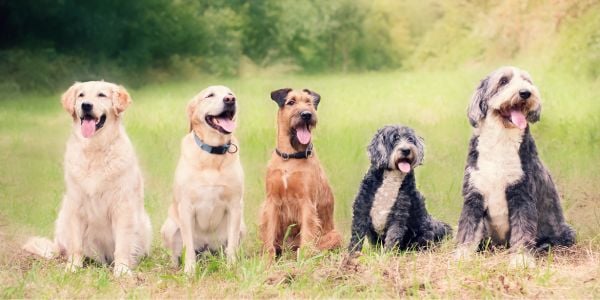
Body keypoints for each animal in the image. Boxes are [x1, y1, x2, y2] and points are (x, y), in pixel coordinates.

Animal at [346, 125, 450, 253]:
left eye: (410, 139)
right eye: (395, 139)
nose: (406, 150)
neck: (392, 177)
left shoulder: (398, 214)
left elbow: (392, 237)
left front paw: (387, 255)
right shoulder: (362, 209)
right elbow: (357, 236)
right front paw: (352, 254)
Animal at [454, 66, 576, 268]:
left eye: (527, 81)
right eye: (503, 81)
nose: (525, 93)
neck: (501, 141)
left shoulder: (522, 195)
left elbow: (522, 231)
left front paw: (521, 260)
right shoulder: (474, 195)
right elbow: (467, 229)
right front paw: (462, 256)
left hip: (565, 232)